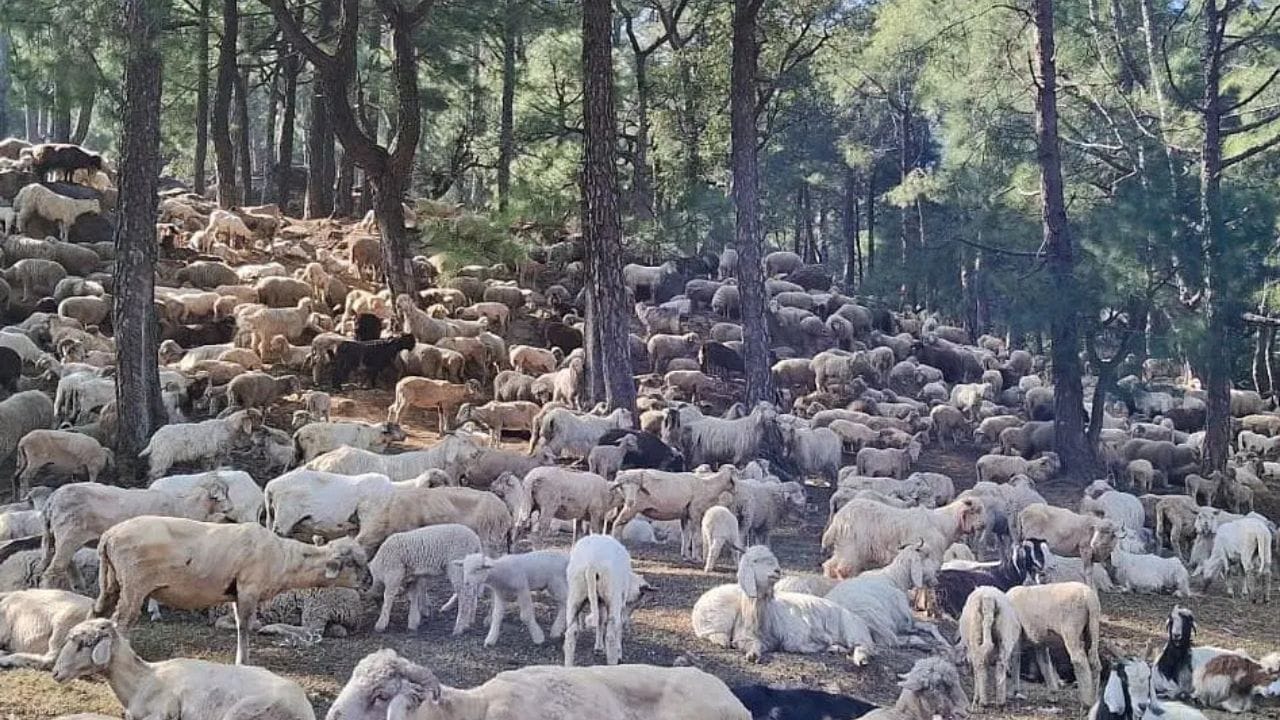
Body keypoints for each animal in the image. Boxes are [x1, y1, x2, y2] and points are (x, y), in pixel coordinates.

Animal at [48, 618, 315, 719]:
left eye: (83, 643)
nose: (55, 673)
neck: (142, 681)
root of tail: (304, 707)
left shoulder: (163, 714)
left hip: (244, 712)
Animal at [94, 516, 367, 665]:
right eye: (353, 563)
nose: (368, 583)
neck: (284, 559)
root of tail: (109, 536)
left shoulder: (235, 593)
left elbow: (240, 624)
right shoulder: (248, 589)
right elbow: (245, 627)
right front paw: (242, 662)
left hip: (111, 581)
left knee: (98, 612)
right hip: (134, 585)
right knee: (121, 622)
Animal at [563, 534, 651, 666]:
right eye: (637, 602)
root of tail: (592, 563)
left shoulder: (600, 601)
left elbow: (600, 620)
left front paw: (598, 647)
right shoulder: (620, 602)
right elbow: (618, 625)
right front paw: (618, 653)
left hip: (575, 594)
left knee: (570, 633)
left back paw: (569, 665)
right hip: (612, 594)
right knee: (611, 635)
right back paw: (613, 661)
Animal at [733, 545, 872, 665]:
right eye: (755, 561)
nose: (777, 571)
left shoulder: (795, 633)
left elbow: (792, 645)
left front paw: (816, 645)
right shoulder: (745, 638)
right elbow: (750, 645)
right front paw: (752, 655)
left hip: (851, 629)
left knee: (863, 645)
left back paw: (860, 659)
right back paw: (837, 649)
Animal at [822, 497, 985, 578]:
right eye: (975, 511)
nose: (983, 525)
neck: (942, 525)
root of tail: (838, 519)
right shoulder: (929, 556)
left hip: (843, 547)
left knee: (830, 566)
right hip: (852, 549)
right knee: (843, 569)